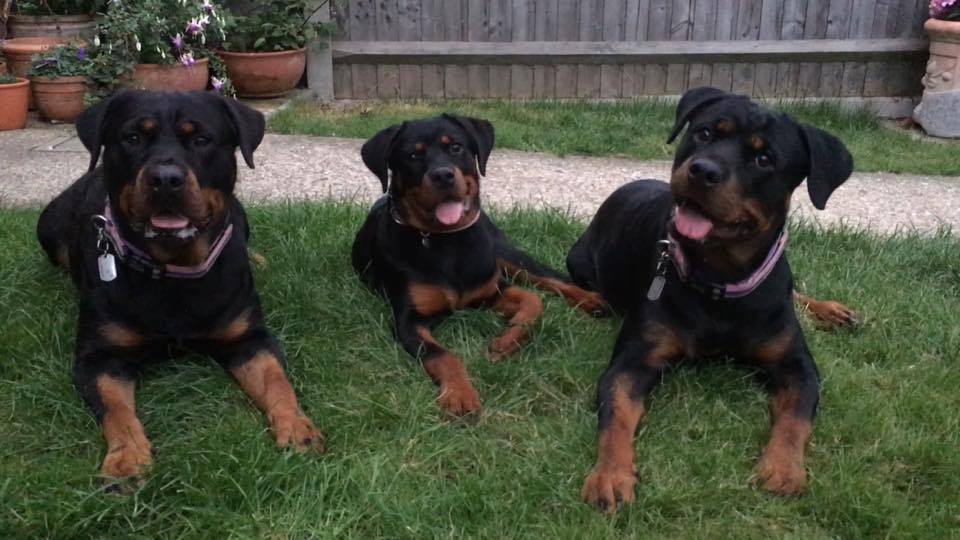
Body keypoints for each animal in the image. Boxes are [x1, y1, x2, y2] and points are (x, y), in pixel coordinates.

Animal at [37, 92, 322, 490]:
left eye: (201, 139)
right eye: (132, 138)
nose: (165, 179)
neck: (174, 270)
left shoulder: (248, 339)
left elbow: (278, 382)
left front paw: (298, 428)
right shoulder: (99, 358)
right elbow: (117, 411)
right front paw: (127, 458)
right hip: (47, 224)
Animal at [352, 114, 608, 418]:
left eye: (456, 147)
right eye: (413, 155)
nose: (442, 175)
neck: (447, 242)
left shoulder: (490, 290)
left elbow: (533, 302)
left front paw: (505, 343)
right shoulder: (408, 320)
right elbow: (442, 355)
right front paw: (460, 396)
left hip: (505, 252)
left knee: (551, 279)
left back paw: (592, 299)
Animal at [564, 87, 856, 510]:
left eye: (764, 158)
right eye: (703, 133)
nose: (702, 171)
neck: (718, 279)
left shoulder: (796, 365)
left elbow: (796, 418)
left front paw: (783, 469)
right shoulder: (632, 363)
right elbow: (616, 416)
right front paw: (610, 475)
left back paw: (829, 310)